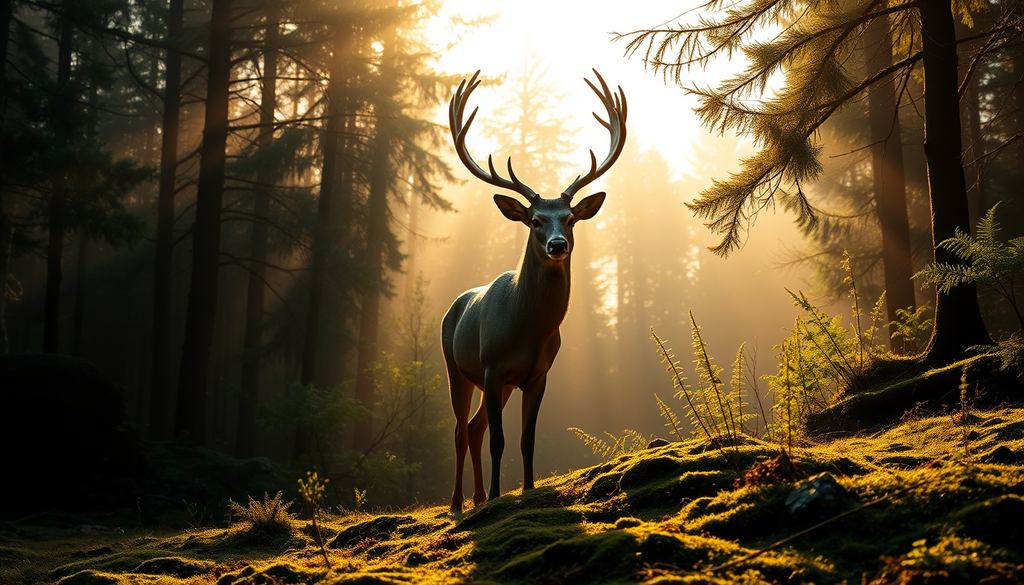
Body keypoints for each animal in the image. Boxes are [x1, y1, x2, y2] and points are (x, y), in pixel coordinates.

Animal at [442, 70, 627, 513]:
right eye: (535, 220)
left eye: (571, 219)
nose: (557, 245)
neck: (526, 330)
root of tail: (453, 305)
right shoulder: (492, 366)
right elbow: (500, 440)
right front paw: (498, 497)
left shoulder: (537, 374)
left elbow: (526, 439)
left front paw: (526, 491)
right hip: (455, 366)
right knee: (460, 428)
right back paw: (459, 502)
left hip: (498, 383)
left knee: (473, 427)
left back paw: (477, 497)